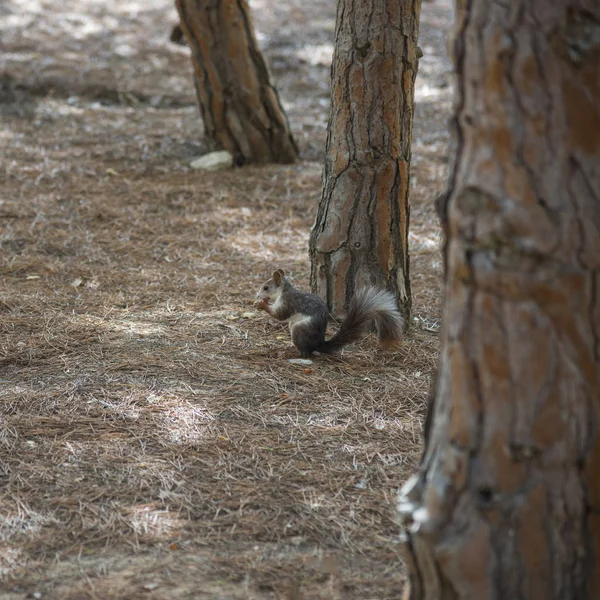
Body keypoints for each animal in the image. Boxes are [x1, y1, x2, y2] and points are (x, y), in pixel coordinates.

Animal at [253, 270, 404, 358]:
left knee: (306, 353)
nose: (257, 295)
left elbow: (280, 315)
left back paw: (293, 354)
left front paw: (261, 304)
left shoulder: (288, 302)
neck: (284, 291)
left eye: (266, 287)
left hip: (300, 330)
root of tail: (319, 343)